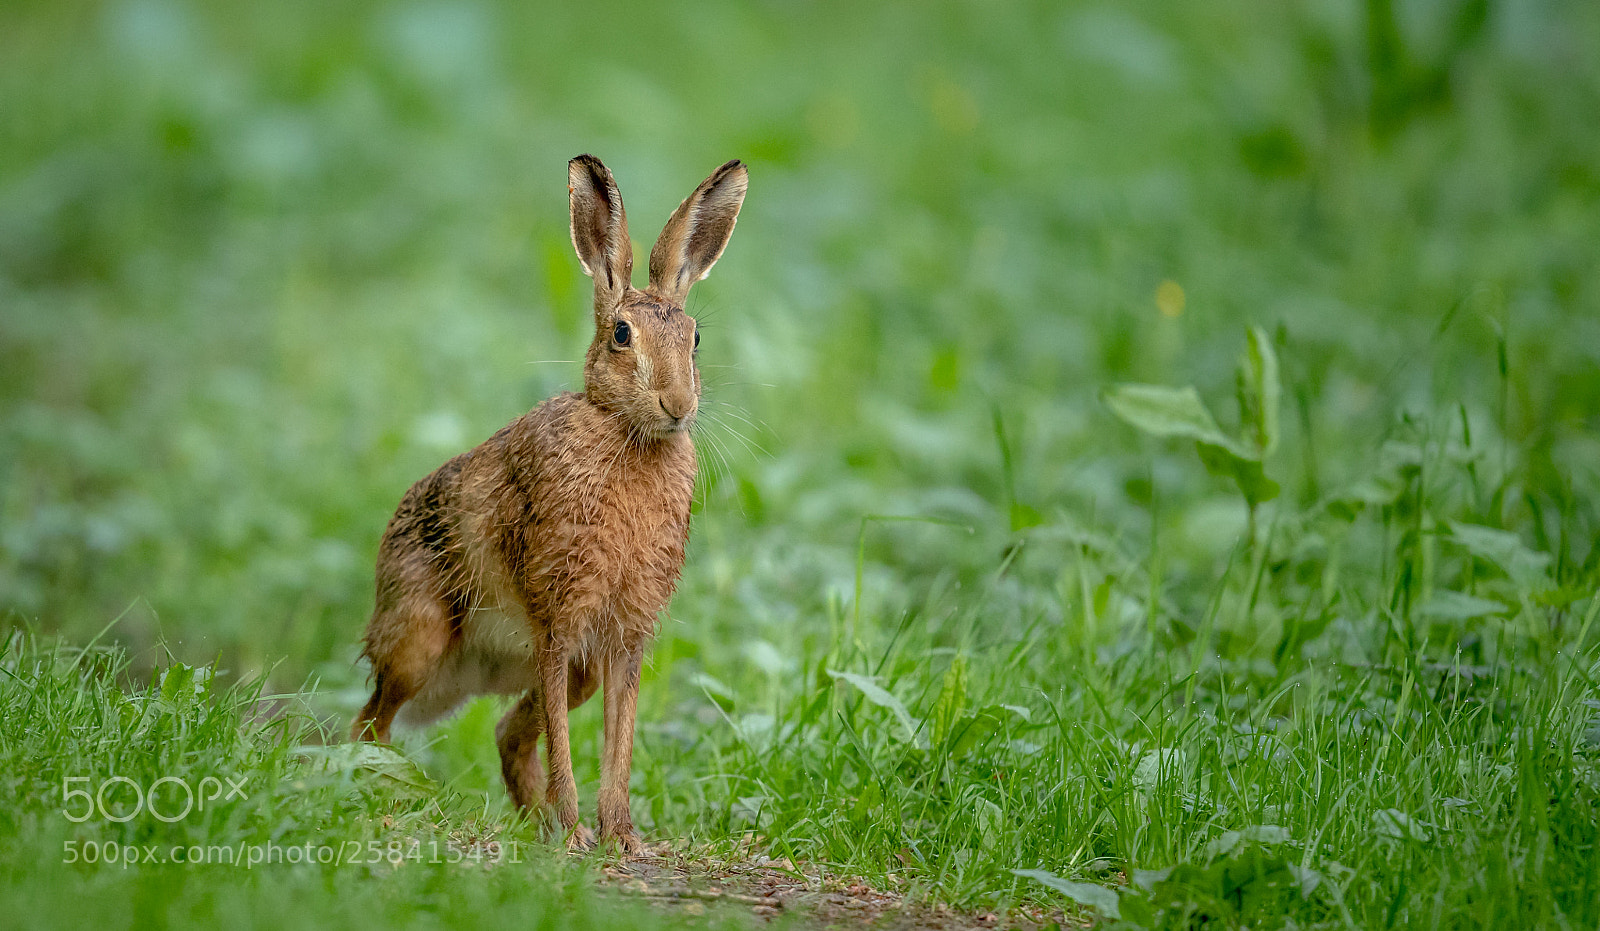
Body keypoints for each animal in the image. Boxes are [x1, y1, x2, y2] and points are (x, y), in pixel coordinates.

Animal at [351, 154, 747, 854]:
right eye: (621, 334)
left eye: (696, 339)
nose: (678, 406)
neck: (625, 429)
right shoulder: (558, 621)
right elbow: (567, 741)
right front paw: (578, 837)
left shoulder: (623, 638)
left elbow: (619, 742)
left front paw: (622, 838)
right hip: (420, 638)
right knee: (371, 722)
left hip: (560, 669)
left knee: (506, 732)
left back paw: (536, 824)